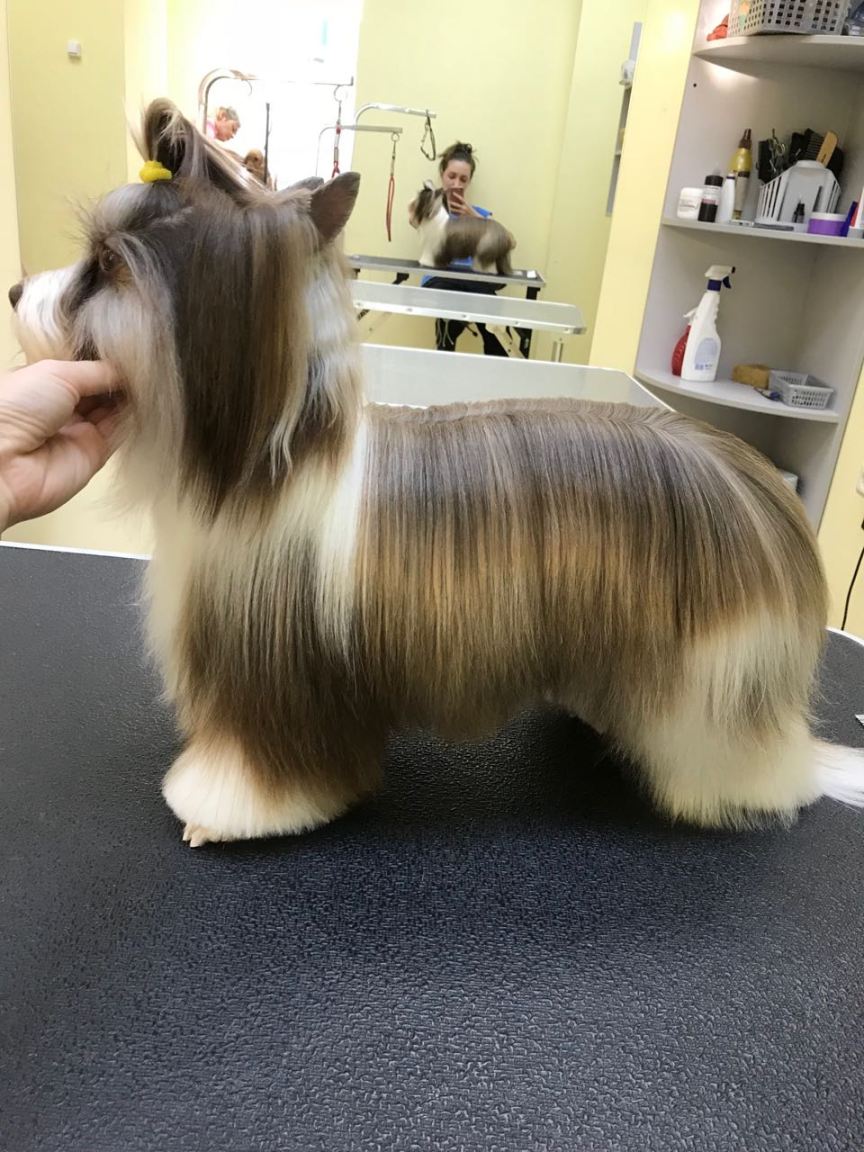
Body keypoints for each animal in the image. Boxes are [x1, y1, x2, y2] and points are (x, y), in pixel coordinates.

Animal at [10, 99, 864, 846]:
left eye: (108, 265)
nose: (16, 290)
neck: (265, 462)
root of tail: (763, 493)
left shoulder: (276, 675)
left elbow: (265, 769)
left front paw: (221, 811)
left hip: (712, 671)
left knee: (741, 755)